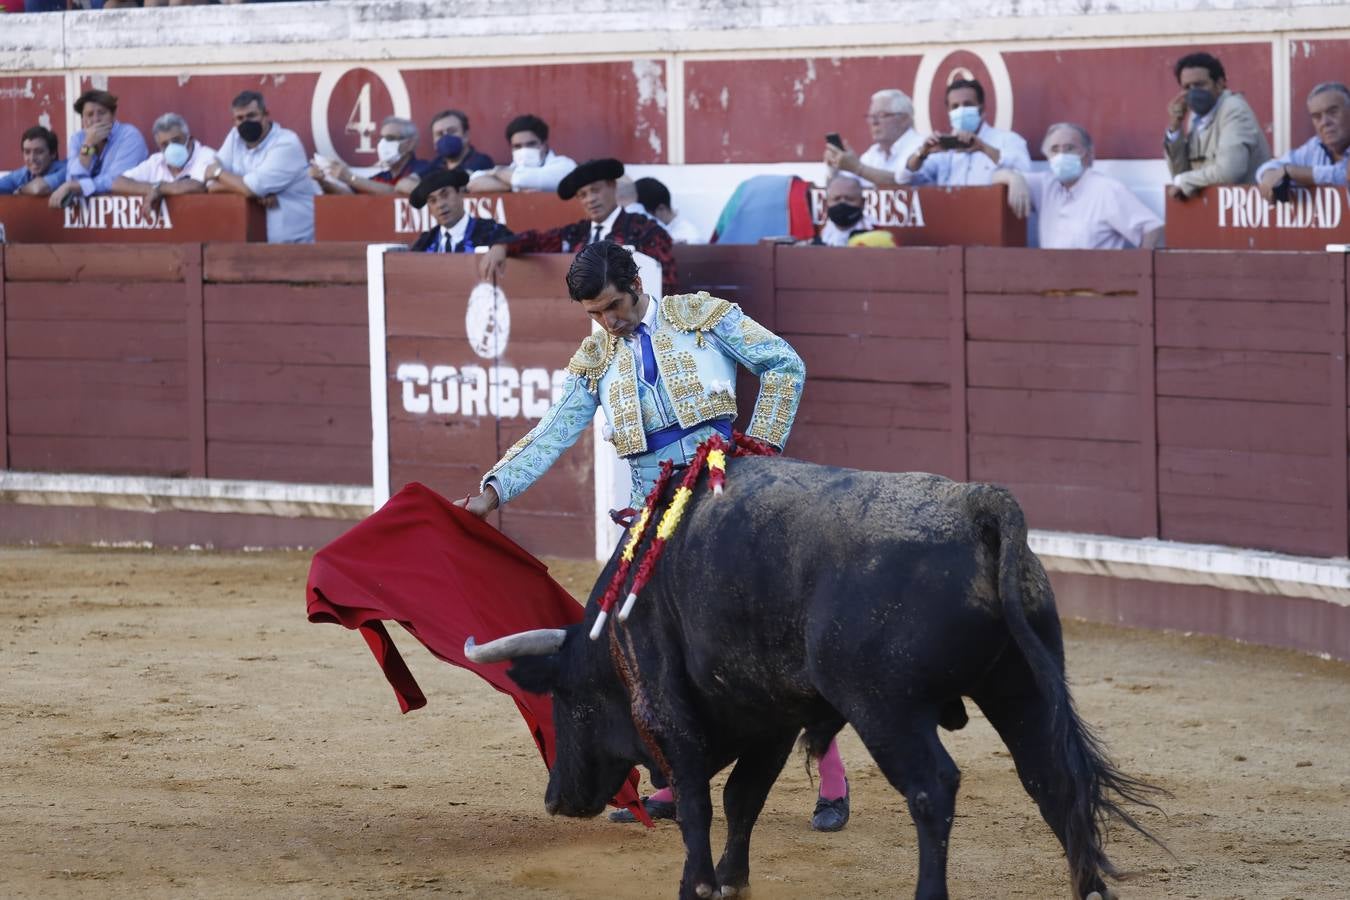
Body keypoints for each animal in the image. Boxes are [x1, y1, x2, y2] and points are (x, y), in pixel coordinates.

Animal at [464, 461, 1161, 895]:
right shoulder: (772, 716)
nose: (556, 798)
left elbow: (697, 802)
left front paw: (697, 883)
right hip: (1023, 690)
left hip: (888, 710)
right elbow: (742, 798)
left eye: (567, 701)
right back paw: (1090, 892)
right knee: (1053, 782)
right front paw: (732, 879)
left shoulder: (672, 712)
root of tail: (976, 506)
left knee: (933, 789)